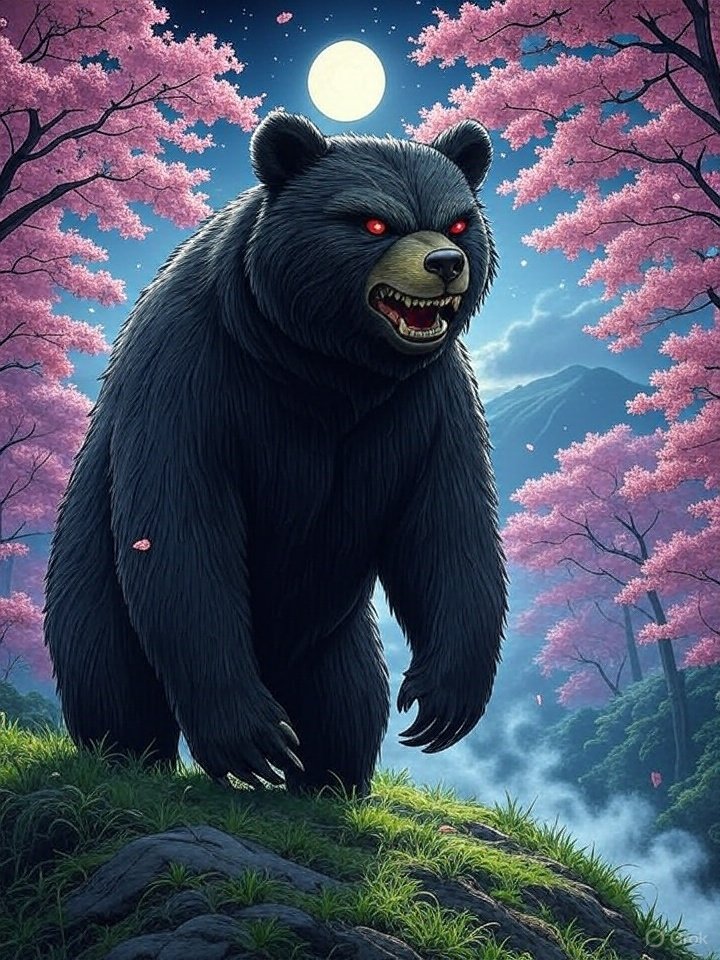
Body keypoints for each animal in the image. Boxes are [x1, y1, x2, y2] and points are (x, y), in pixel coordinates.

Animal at [43, 110, 508, 798]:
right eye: (373, 222)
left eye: (457, 221)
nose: (446, 261)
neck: (321, 368)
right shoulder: (194, 373)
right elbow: (183, 528)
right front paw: (250, 740)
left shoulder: (423, 403)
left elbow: (448, 526)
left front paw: (441, 703)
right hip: (93, 583)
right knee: (111, 677)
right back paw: (132, 757)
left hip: (334, 639)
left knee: (346, 702)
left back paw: (325, 777)